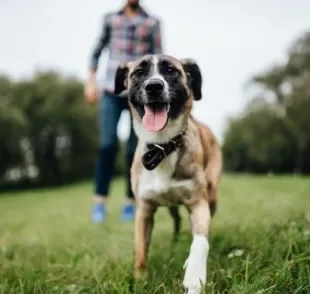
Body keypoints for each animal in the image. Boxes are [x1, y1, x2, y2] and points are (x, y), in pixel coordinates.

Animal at [114, 54, 223, 292]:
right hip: (172, 206)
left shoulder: (198, 203)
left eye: (171, 70)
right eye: (139, 72)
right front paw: (140, 280)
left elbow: (200, 241)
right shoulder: (144, 211)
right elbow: (140, 251)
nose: (154, 86)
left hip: (211, 196)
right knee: (177, 219)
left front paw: (194, 277)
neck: (162, 146)